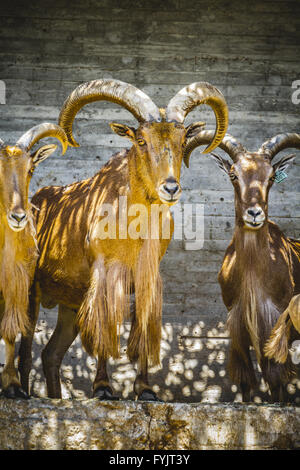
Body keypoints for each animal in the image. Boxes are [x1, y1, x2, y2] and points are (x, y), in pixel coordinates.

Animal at [18, 78, 229, 400]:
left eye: (182, 141)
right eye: (141, 141)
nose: (170, 188)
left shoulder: (146, 278)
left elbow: (142, 328)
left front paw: (145, 389)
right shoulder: (105, 275)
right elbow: (105, 328)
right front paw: (103, 388)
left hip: (69, 305)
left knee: (51, 354)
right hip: (32, 291)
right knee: (26, 350)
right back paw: (22, 392)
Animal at [185, 129, 300, 400]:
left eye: (271, 176)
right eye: (233, 174)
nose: (254, 214)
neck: (252, 273)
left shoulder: (275, 322)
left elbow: (276, 376)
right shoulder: (237, 321)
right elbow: (246, 377)